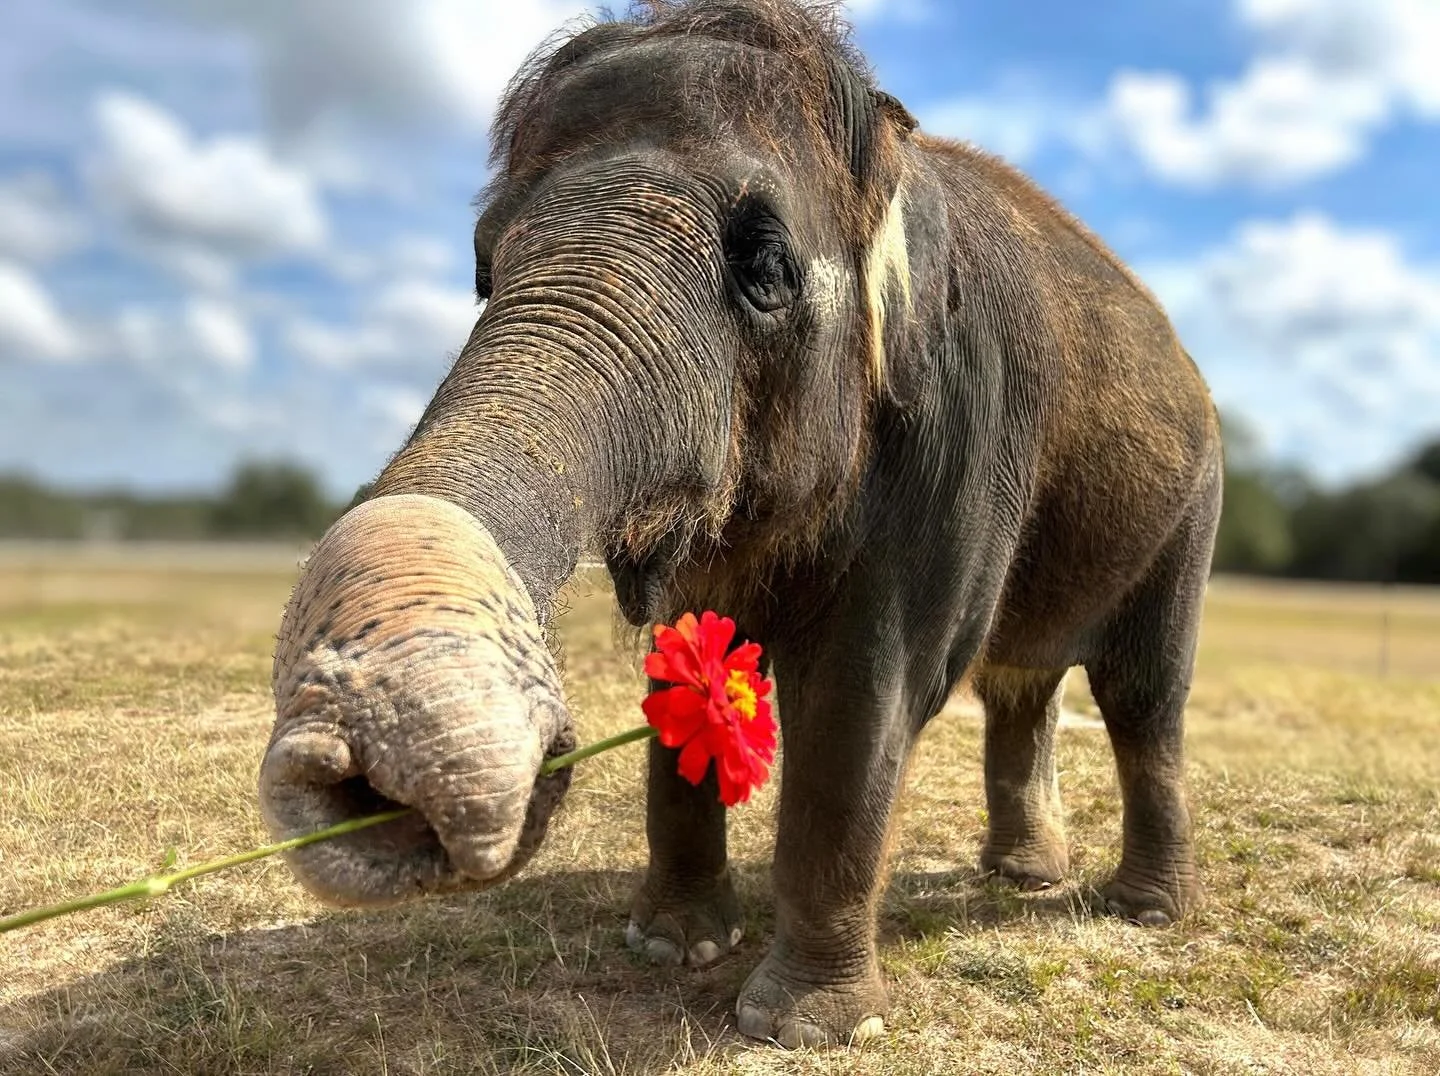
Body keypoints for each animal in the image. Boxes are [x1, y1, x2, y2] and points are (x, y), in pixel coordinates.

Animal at [259, 0, 1223, 1050]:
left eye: (765, 269)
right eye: (482, 269)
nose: (367, 777)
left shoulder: (961, 428)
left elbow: (863, 694)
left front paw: (803, 1027)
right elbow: (679, 658)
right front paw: (671, 947)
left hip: (1190, 516)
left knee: (1142, 696)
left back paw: (1143, 909)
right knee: (1022, 685)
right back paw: (1024, 875)